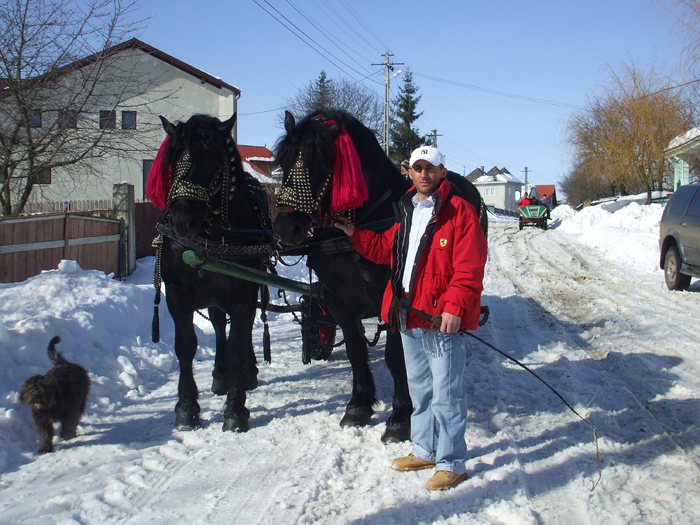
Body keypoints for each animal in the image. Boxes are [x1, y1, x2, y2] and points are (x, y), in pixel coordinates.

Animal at [154, 112, 272, 432]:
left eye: (214, 159)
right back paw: (221, 376)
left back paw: (246, 373)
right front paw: (186, 408)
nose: (183, 220)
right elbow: (185, 346)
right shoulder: (177, 295)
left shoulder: (244, 294)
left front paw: (235, 410)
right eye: (174, 156)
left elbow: (238, 345)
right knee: (220, 325)